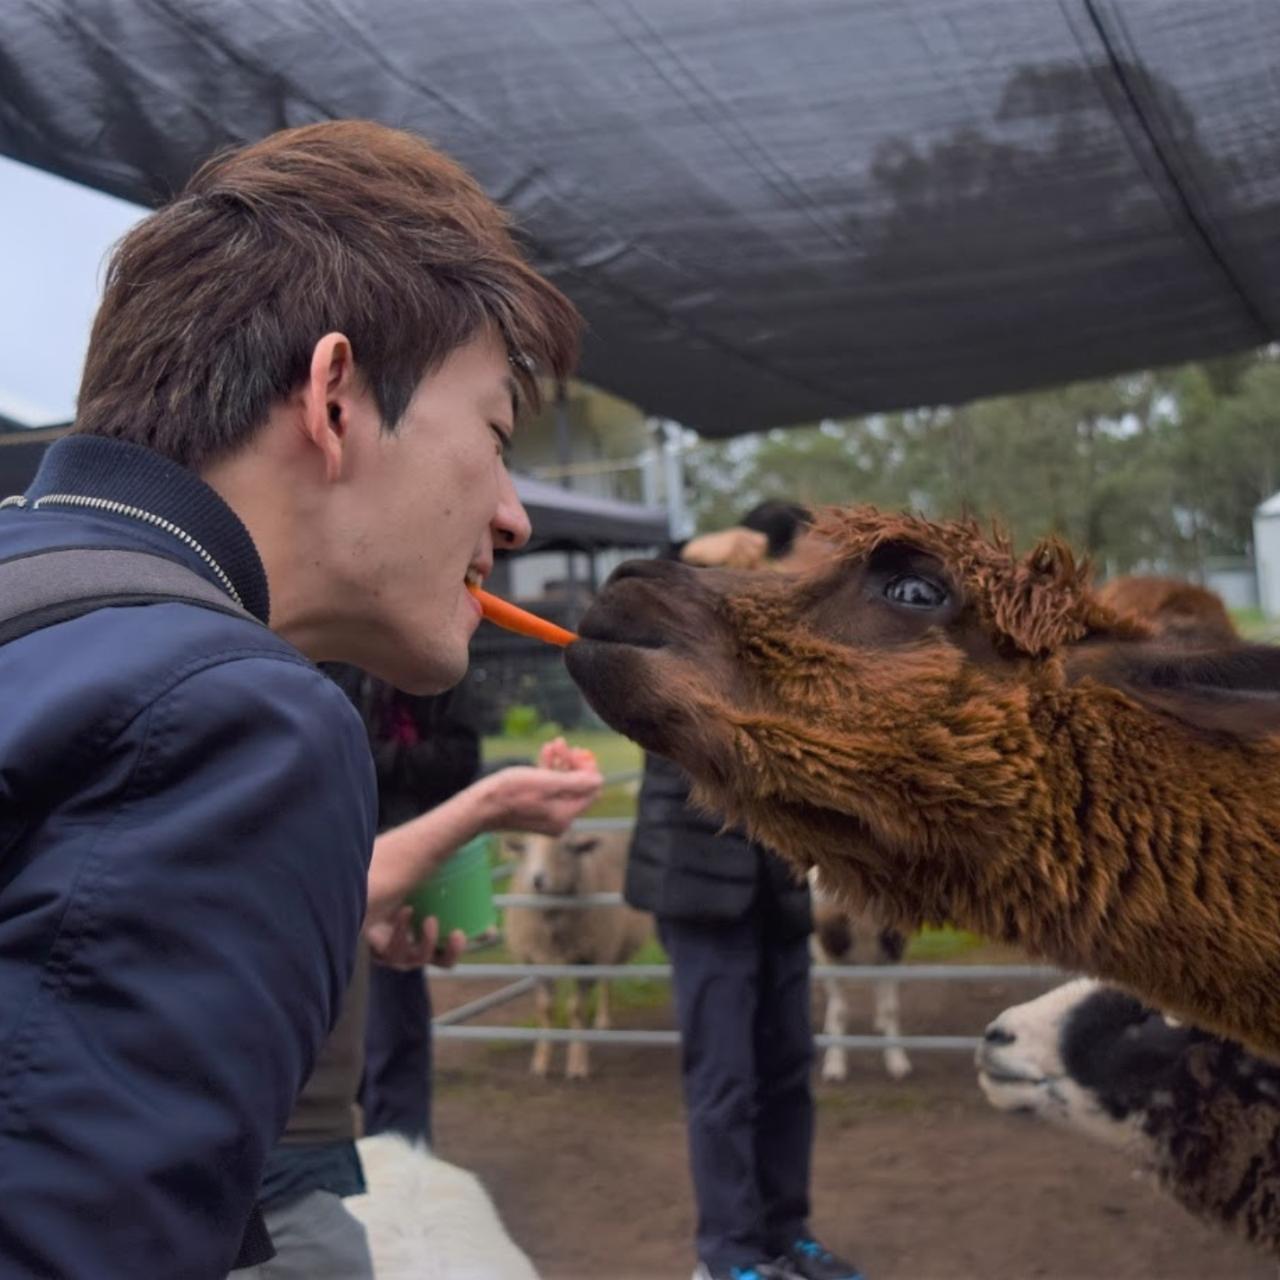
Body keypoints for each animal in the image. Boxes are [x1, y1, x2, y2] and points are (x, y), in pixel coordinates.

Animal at [499, 824, 650, 1075]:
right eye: (526, 848)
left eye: (568, 848)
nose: (537, 880)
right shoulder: (537, 962)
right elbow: (545, 1008)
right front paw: (542, 1061)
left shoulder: (586, 959)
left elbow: (576, 1010)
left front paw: (578, 1064)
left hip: (609, 943)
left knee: (606, 980)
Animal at [808, 870, 911, 1080]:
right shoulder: (831, 957)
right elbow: (839, 1012)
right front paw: (835, 1064)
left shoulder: (892, 955)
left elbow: (891, 1010)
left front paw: (897, 1061)